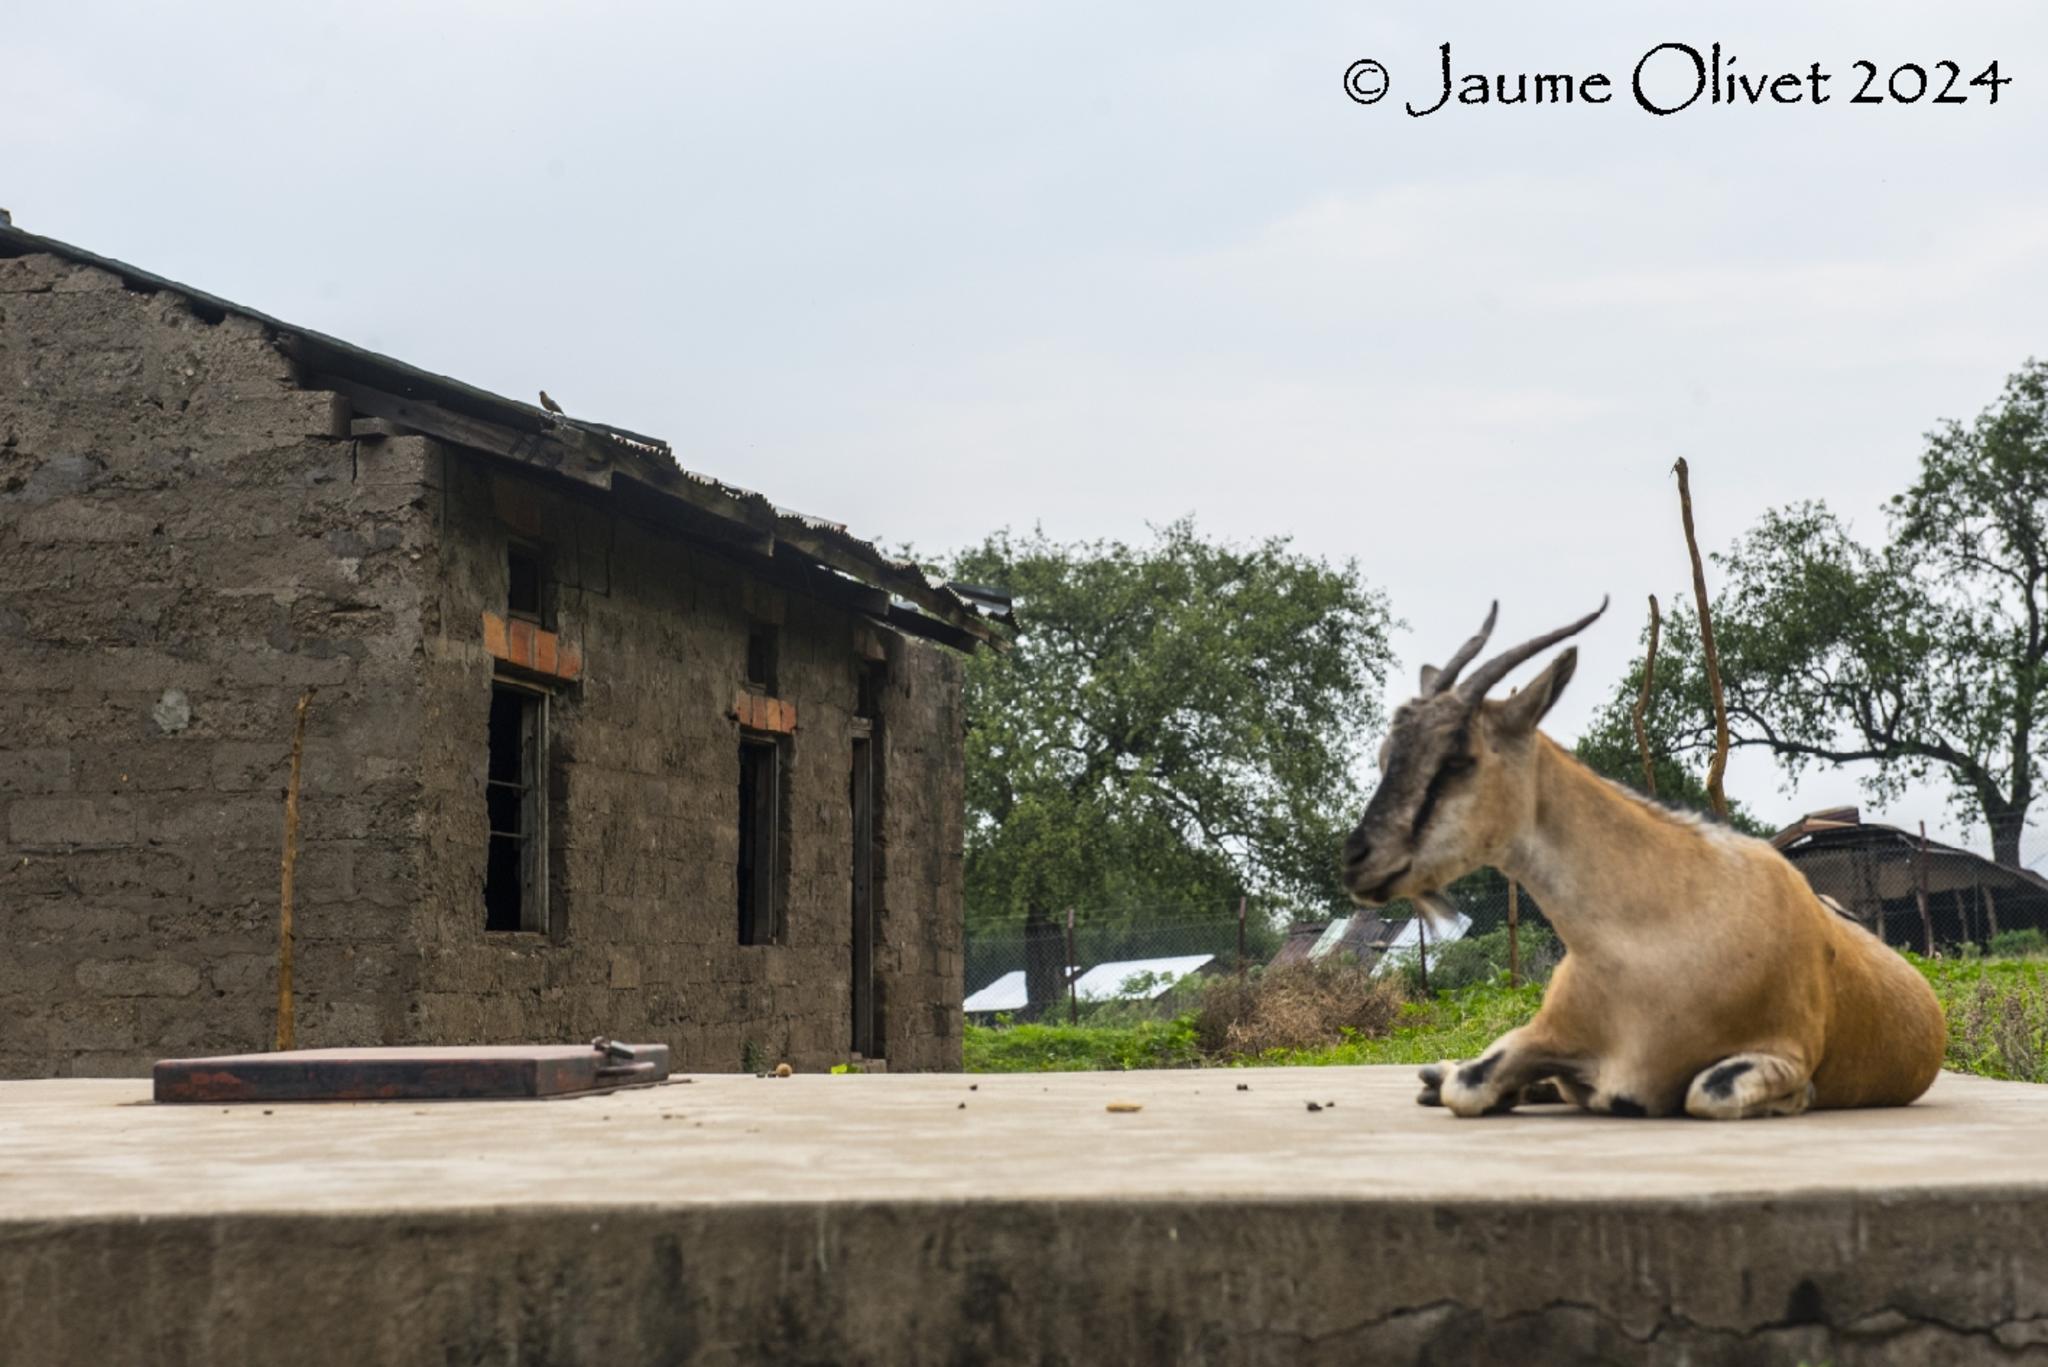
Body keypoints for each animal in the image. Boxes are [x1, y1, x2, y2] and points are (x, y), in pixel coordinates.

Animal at [1335, 602, 1941, 1114]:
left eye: (1458, 757)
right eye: (1387, 754)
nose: (1358, 859)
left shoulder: (1784, 1049)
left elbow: (1708, 1091)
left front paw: (1795, 1099)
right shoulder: (1547, 1032)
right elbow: (1471, 1083)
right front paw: (1465, 1081)